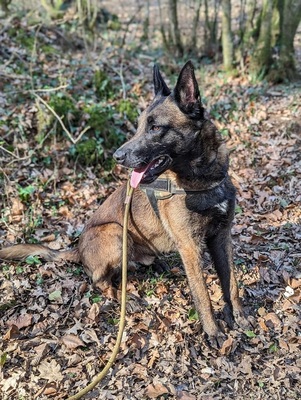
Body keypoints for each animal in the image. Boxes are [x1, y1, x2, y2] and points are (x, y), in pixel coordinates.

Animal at [0, 61, 246, 346]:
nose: (116, 156)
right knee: (99, 281)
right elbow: (202, 294)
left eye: (155, 128)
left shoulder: (221, 236)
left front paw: (237, 315)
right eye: (139, 126)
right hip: (117, 233)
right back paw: (127, 299)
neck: (202, 178)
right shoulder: (190, 246)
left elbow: (231, 282)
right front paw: (213, 331)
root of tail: (78, 249)